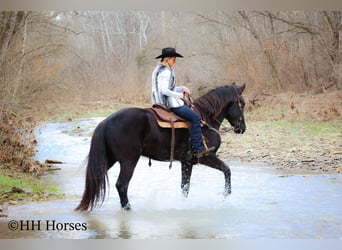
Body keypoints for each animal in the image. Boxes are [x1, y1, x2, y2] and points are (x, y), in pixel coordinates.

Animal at [75, 83, 246, 211]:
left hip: (110, 159)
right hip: (129, 161)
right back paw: (128, 209)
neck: (205, 120)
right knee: (122, 185)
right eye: (242, 104)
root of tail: (106, 121)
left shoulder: (187, 162)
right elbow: (227, 170)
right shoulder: (206, 157)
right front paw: (225, 194)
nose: (242, 128)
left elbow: (185, 187)